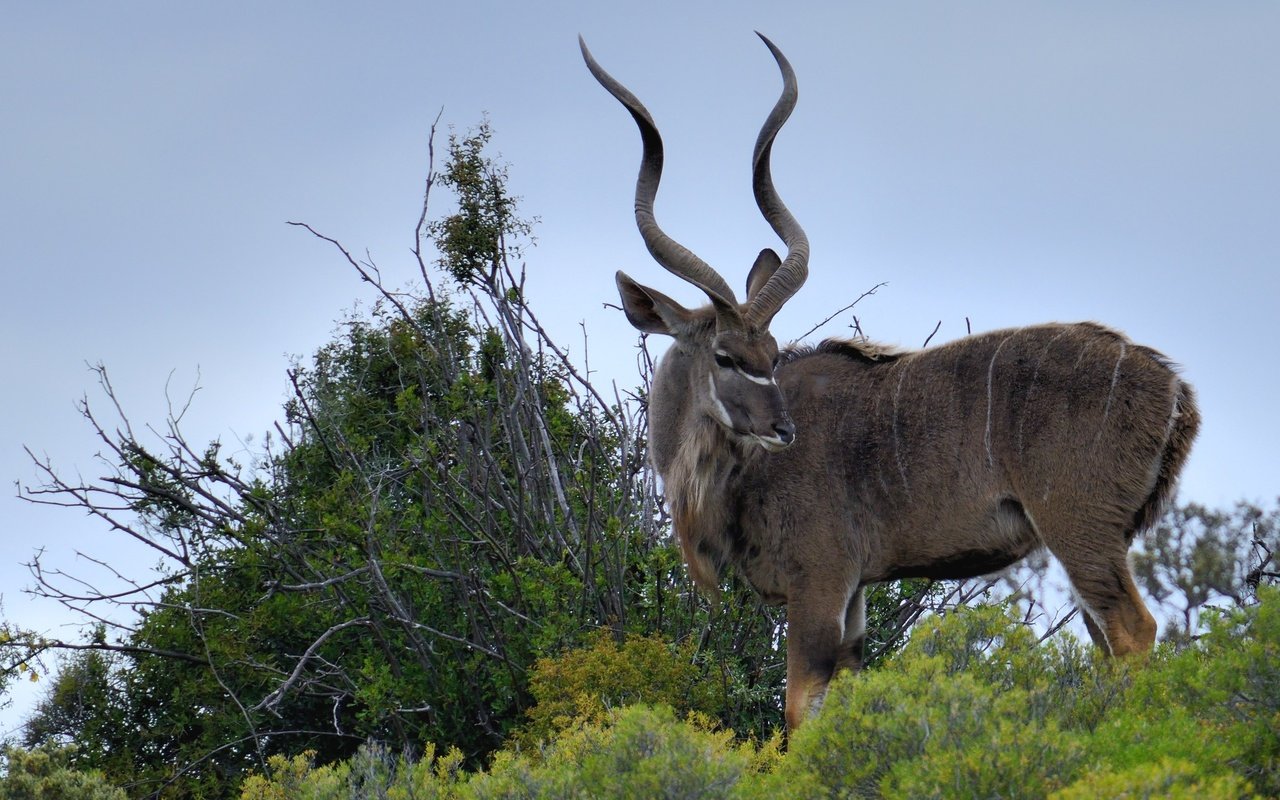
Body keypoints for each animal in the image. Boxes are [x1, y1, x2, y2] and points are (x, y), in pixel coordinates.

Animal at [581, 34, 1198, 727]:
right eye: (726, 355)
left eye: (769, 351)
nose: (783, 429)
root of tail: (1172, 388)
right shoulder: (854, 595)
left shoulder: (820, 580)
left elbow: (800, 709)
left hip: (1078, 528)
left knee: (1133, 631)